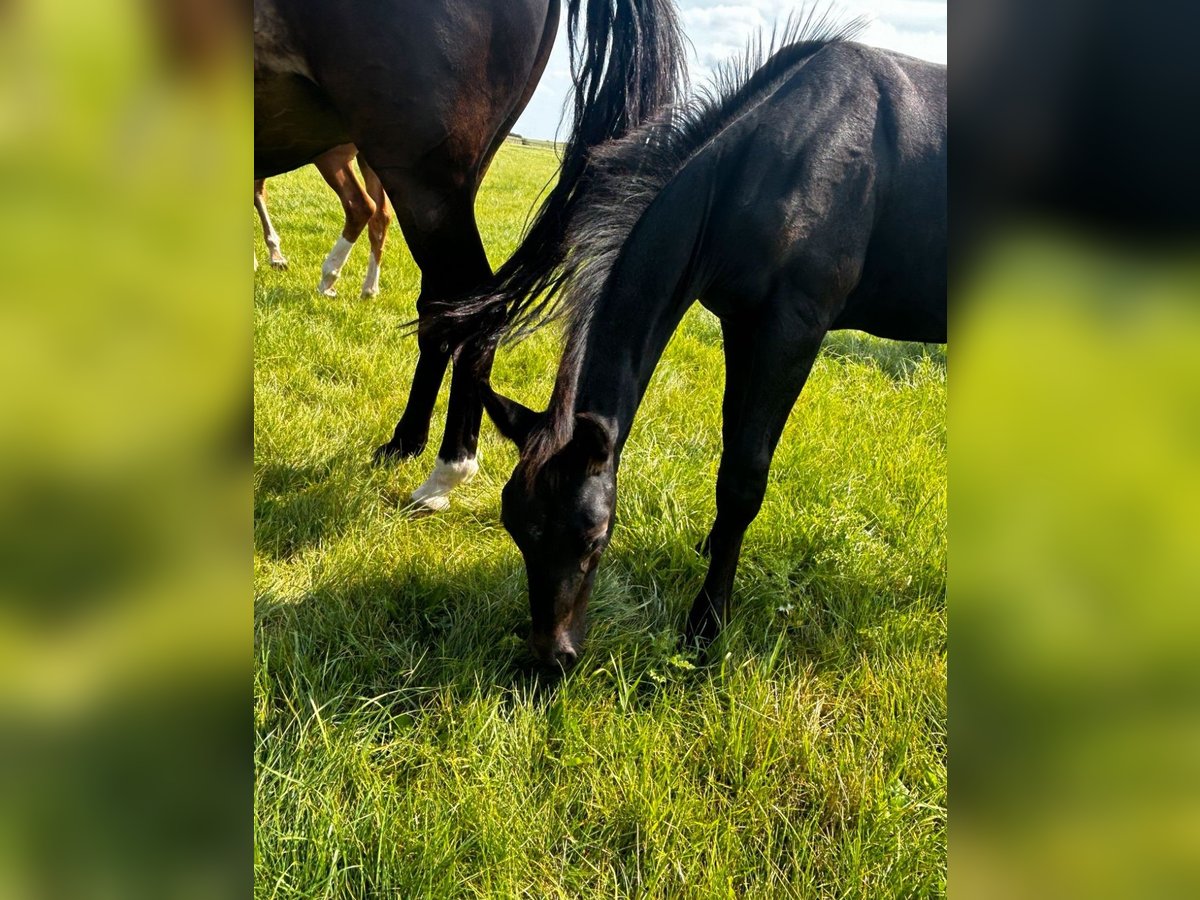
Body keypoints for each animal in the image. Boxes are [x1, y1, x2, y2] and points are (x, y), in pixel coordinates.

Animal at [468, 28, 945, 667]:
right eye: (517, 527)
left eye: (592, 536)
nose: (552, 658)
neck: (777, 160)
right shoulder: (741, 326)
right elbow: (727, 449)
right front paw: (713, 550)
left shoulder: (792, 330)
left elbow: (743, 478)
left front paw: (707, 624)